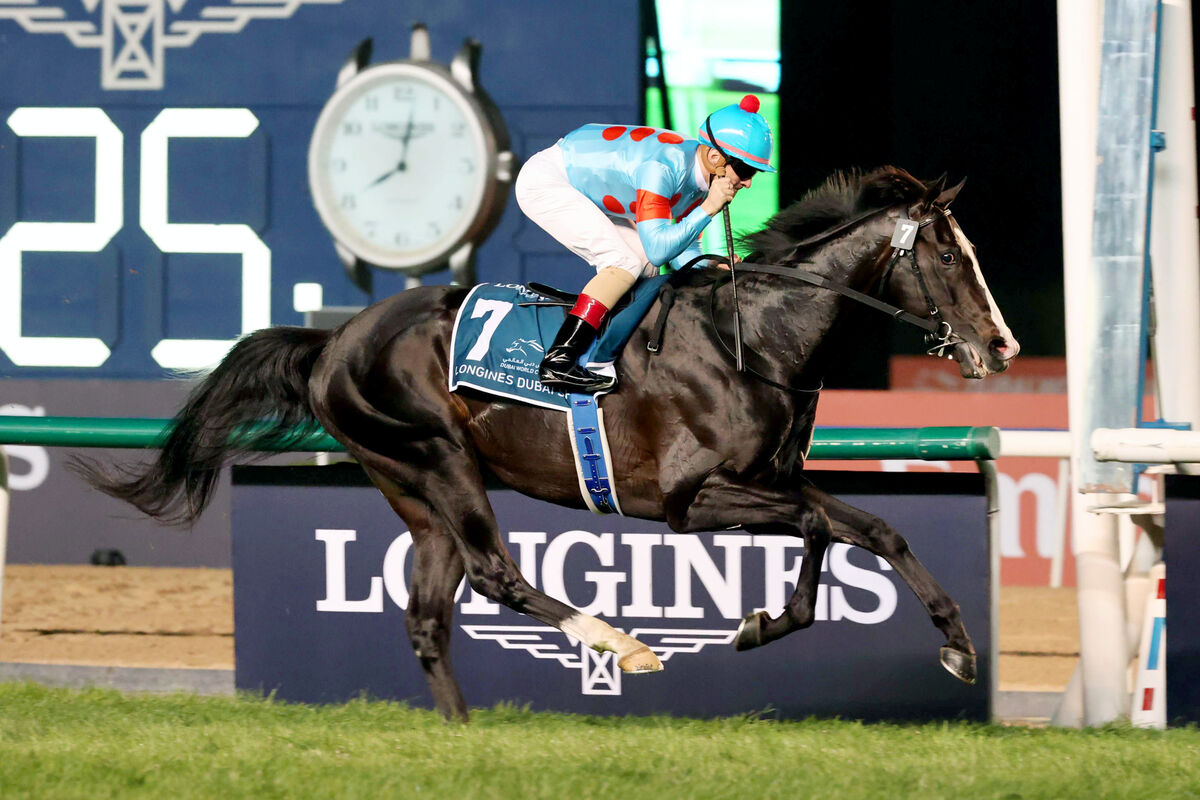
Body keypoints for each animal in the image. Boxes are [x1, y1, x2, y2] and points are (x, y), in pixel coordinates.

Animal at [74, 166, 1019, 722]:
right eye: (946, 255)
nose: (1003, 346)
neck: (755, 337)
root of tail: (335, 340)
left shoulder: (776, 478)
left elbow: (874, 529)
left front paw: (957, 645)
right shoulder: (691, 500)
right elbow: (825, 531)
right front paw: (761, 625)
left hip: (413, 490)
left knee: (428, 614)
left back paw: (463, 734)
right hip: (439, 460)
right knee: (495, 574)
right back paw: (622, 646)